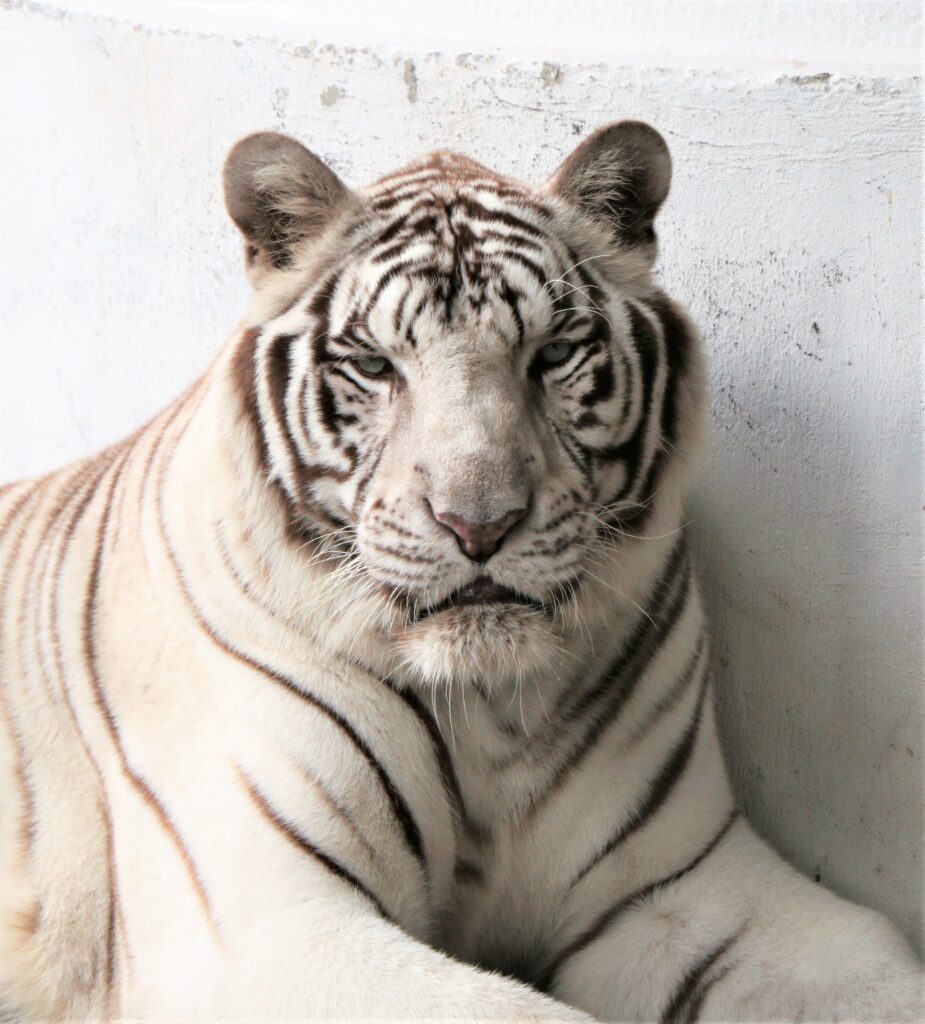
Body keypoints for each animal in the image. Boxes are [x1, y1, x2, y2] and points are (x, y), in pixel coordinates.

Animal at [0, 120, 920, 1023]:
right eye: (375, 365)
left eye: (552, 354)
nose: (479, 523)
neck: (485, 715)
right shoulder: (271, 924)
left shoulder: (680, 883)